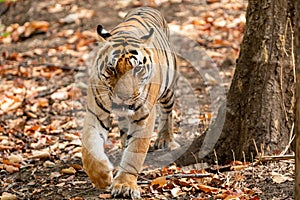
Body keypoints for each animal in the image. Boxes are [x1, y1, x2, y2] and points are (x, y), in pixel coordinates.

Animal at [81, 7, 178, 199]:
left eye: (137, 68)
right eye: (111, 68)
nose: (124, 96)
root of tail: (146, 7)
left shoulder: (144, 117)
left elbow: (135, 153)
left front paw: (125, 185)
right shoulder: (95, 114)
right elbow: (89, 149)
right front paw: (102, 177)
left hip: (168, 88)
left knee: (168, 111)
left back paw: (164, 138)